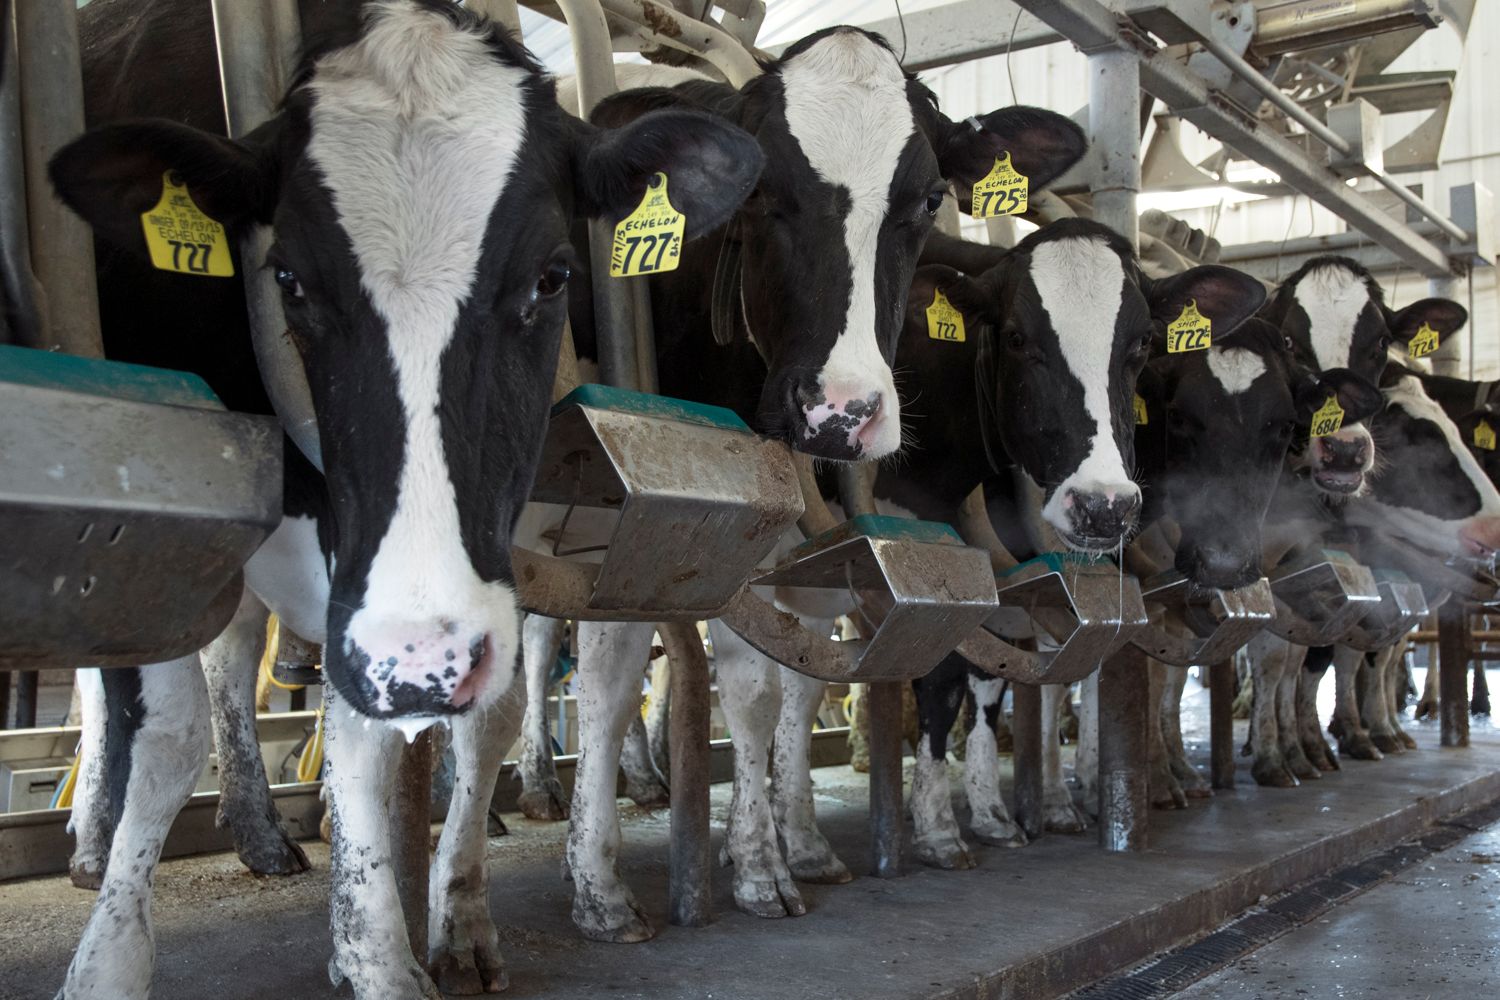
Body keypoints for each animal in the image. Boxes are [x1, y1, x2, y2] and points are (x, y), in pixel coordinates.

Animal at [47, 2, 762, 997]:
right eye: (286, 278)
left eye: (553, 275)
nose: (420, 658)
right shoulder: (165, 494)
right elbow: (176, 730)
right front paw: (110, 964)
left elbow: (420, 726)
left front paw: (400, 942)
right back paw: (106, 839)